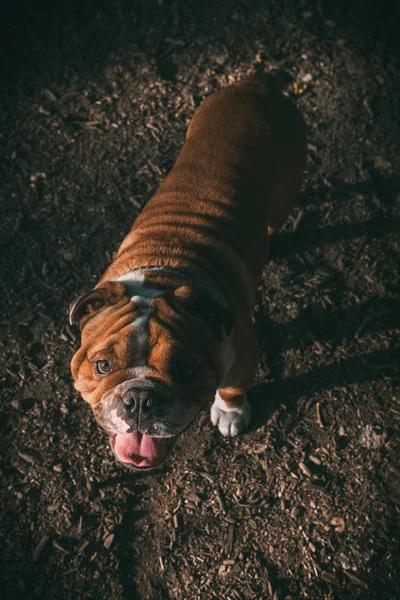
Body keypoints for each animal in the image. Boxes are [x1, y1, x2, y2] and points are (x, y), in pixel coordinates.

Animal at [69, 76, 306, 468]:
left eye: (186, 369)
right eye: (102, 366)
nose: (140, 398)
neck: (161, 277)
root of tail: (255, 86)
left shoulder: (242, 356)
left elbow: (233, 387)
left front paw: (229, 413)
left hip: (285, 191)